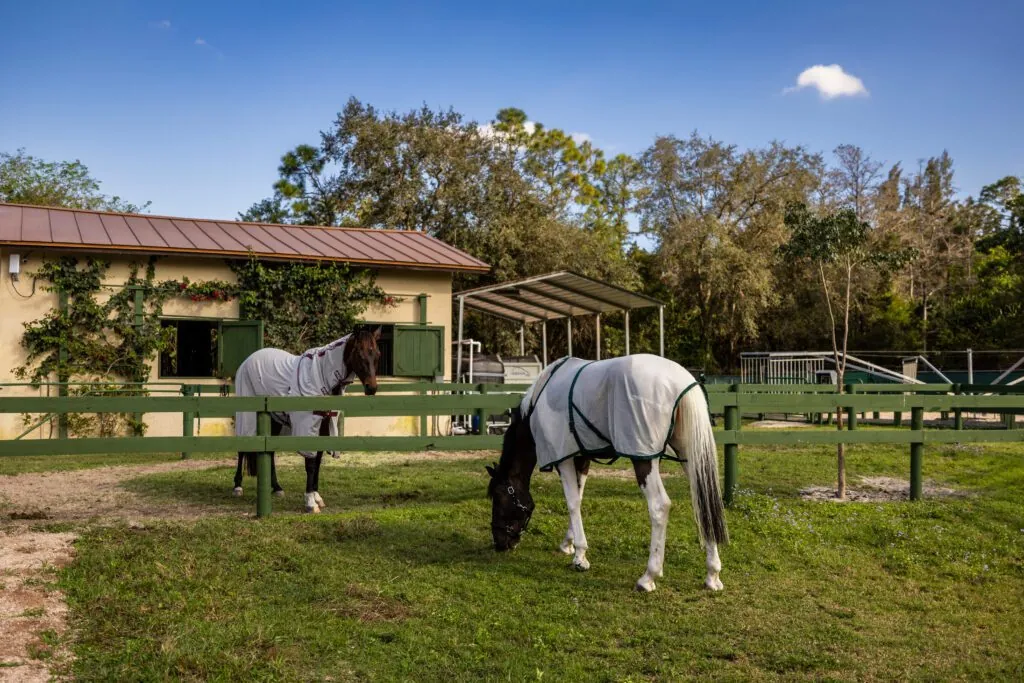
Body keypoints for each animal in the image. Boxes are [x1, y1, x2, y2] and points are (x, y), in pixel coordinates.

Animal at [232, 327, 381, 513]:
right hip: (247, 415)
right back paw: (237, 487)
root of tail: (249, 359)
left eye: (377, 354)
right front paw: (310, 502)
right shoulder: (308, 426)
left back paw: (277, 488)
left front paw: (317, 497)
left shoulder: (323, 428)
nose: (371, 388)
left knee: (270, 453)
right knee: (242, 449)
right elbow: (310, 464)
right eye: (360, 353)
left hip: (274, 420)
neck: (321, 376)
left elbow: (317, 462)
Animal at [486, 354, 729, 592]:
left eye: (498, 497)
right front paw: (569, 544)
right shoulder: (581, 457)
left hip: (644, 459)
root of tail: (680, 381)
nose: (500, 543)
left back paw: (648, 577)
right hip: (690, 454)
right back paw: (712, 575)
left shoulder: (563, 459)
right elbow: (579, 498)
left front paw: (580, 557)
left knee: (660, 506)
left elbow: (572, 502)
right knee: (704, 502)